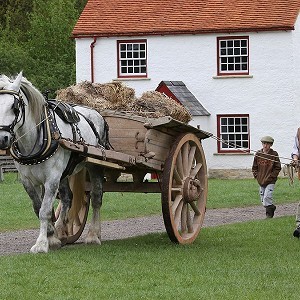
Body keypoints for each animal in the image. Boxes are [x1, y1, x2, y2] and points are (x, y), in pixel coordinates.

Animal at [0, 72, 108, 253]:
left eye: (15, 107)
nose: (3, 139)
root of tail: (95, 113)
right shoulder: (28, 180)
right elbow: (39, 207)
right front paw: (51, 236)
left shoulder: (51, 178)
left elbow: (44, 210)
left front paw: (42, 244)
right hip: (64, 173)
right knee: (67, 198)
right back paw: (60, 230)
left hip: (94, 165)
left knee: (96, 197)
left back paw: (93, 235)